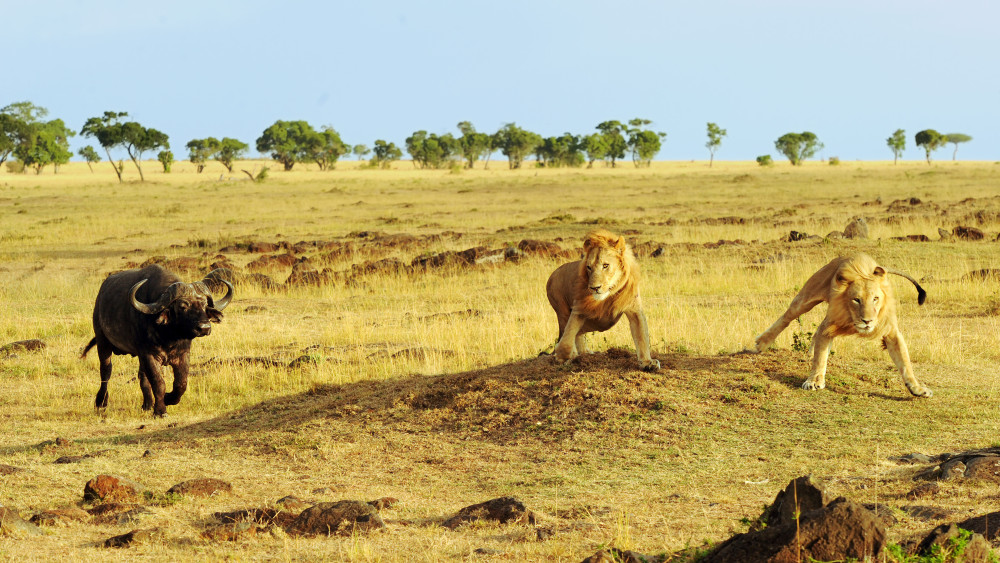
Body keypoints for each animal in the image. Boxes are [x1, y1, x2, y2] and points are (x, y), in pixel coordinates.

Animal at [82, 264, 234, 414]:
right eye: (182, 306)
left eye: (204, 304)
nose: (204, 327)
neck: (169, 336)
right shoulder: (149, 355)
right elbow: (158, 382)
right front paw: (160, 410)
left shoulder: (183, 355)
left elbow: (181, 383)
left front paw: (168, 399)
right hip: (102, 342)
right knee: (105, 372)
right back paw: (101, 402)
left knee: (142, 376)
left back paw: (147, 404)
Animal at [544, 227, 660, 372]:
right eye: (589, 267)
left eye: (605, 265)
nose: (594, 288)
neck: (609, 294)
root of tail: (553, 274)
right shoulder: (579, 307)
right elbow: (568, 336)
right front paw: (563, 356)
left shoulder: (634, 309)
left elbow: (642, 336)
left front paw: (647, 362)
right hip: (562, 310)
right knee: (571, 331)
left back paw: (585, 353)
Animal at [752, 253, 932, 398]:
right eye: (856, 300)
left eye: (875, 299)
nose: (867, 321)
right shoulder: (830, 324)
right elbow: (820, 357)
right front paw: (814, 381)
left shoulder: (891, 332)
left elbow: (905, 362)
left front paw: (917, 388)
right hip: (807, 296)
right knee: (787, 317)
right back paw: (763, 342)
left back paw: (809, 351)